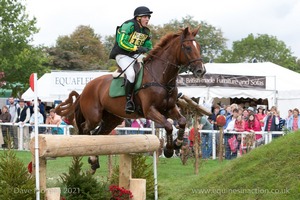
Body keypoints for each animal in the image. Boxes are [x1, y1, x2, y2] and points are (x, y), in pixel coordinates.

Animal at [55, 26, 206, 172]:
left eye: (199, 47)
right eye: (188, 47)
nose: (201, 71)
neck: (161, 77)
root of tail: (86, 89)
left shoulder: (169, 108)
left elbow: (182, 121)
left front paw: (177, 144)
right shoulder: (150, 111)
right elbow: (168, 126)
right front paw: (168, 150)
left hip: (112, 119)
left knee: (98, 134)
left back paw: (94, 164)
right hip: (94, 117)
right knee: (86, 130)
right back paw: (92, 159)